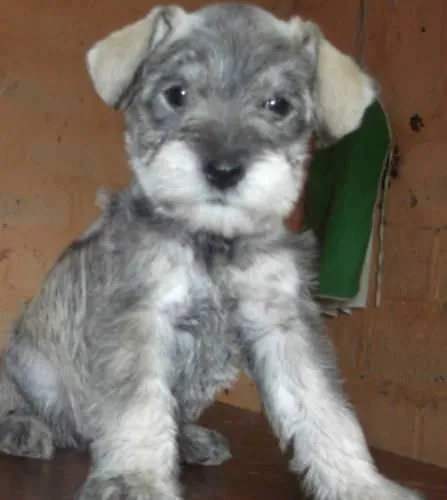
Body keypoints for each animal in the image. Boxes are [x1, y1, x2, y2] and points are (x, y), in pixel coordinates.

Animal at [0, 3, 426, 500]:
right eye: (176, 93)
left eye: (278, 104)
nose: (223, 170)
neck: (214, 241)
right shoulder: (139, 316)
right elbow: (137, 404)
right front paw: (135, 479)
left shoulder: (285, 323)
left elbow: (325, 408)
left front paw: (360, 483)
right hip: (29, 365)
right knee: (22, 402)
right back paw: (24, 428)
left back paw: (190, 440)